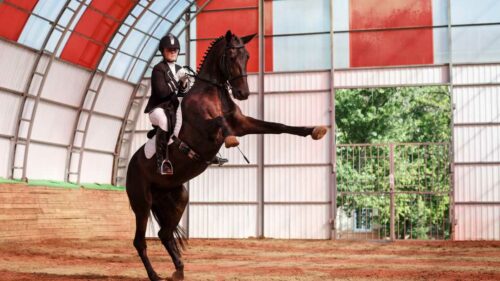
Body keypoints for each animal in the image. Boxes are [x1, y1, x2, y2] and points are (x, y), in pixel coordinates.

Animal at [126, 29, 328, 278]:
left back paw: (179, 271)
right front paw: (231, 140)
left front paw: (314, 130)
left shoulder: (243, 123)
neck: (213, 91)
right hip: (142, 203)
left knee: (164, 234)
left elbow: (277, 126)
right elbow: (220, 122)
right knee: (140, 241)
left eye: (248, 56)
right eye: (231, 56)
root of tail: (129, 166)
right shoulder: (203, 128)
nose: (243, 93)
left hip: (177, 198)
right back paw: (155, 275)